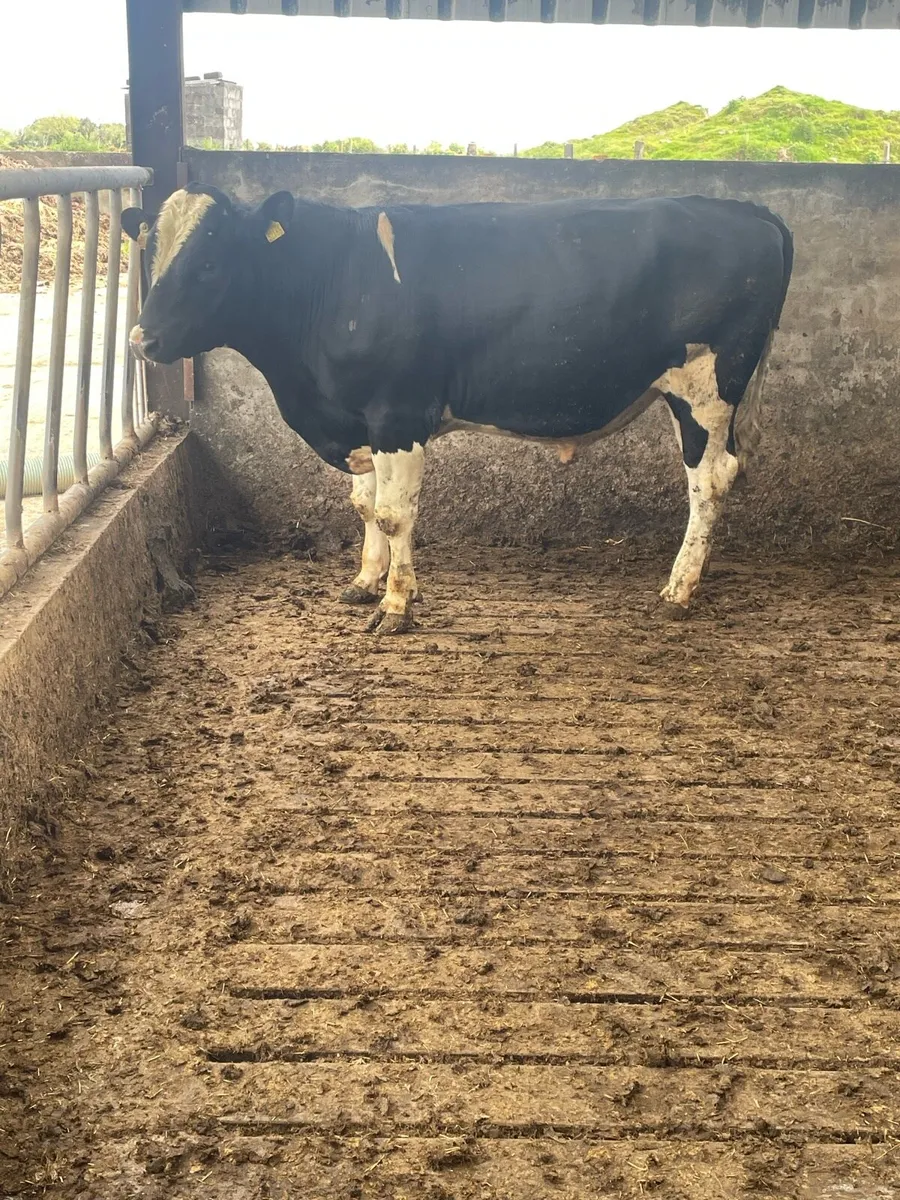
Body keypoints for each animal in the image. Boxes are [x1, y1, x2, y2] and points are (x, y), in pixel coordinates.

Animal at [122, 184, 793, 635]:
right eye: (149, 256)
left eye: (210, 263)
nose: (142, 340)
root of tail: (751, 210)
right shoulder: (360, 423)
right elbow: (364, 506)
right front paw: (363, 583)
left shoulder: (397, 414)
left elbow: (395, 514)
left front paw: (396, 605)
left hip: (705, 390)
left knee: (709, 481)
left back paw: (679, 588)